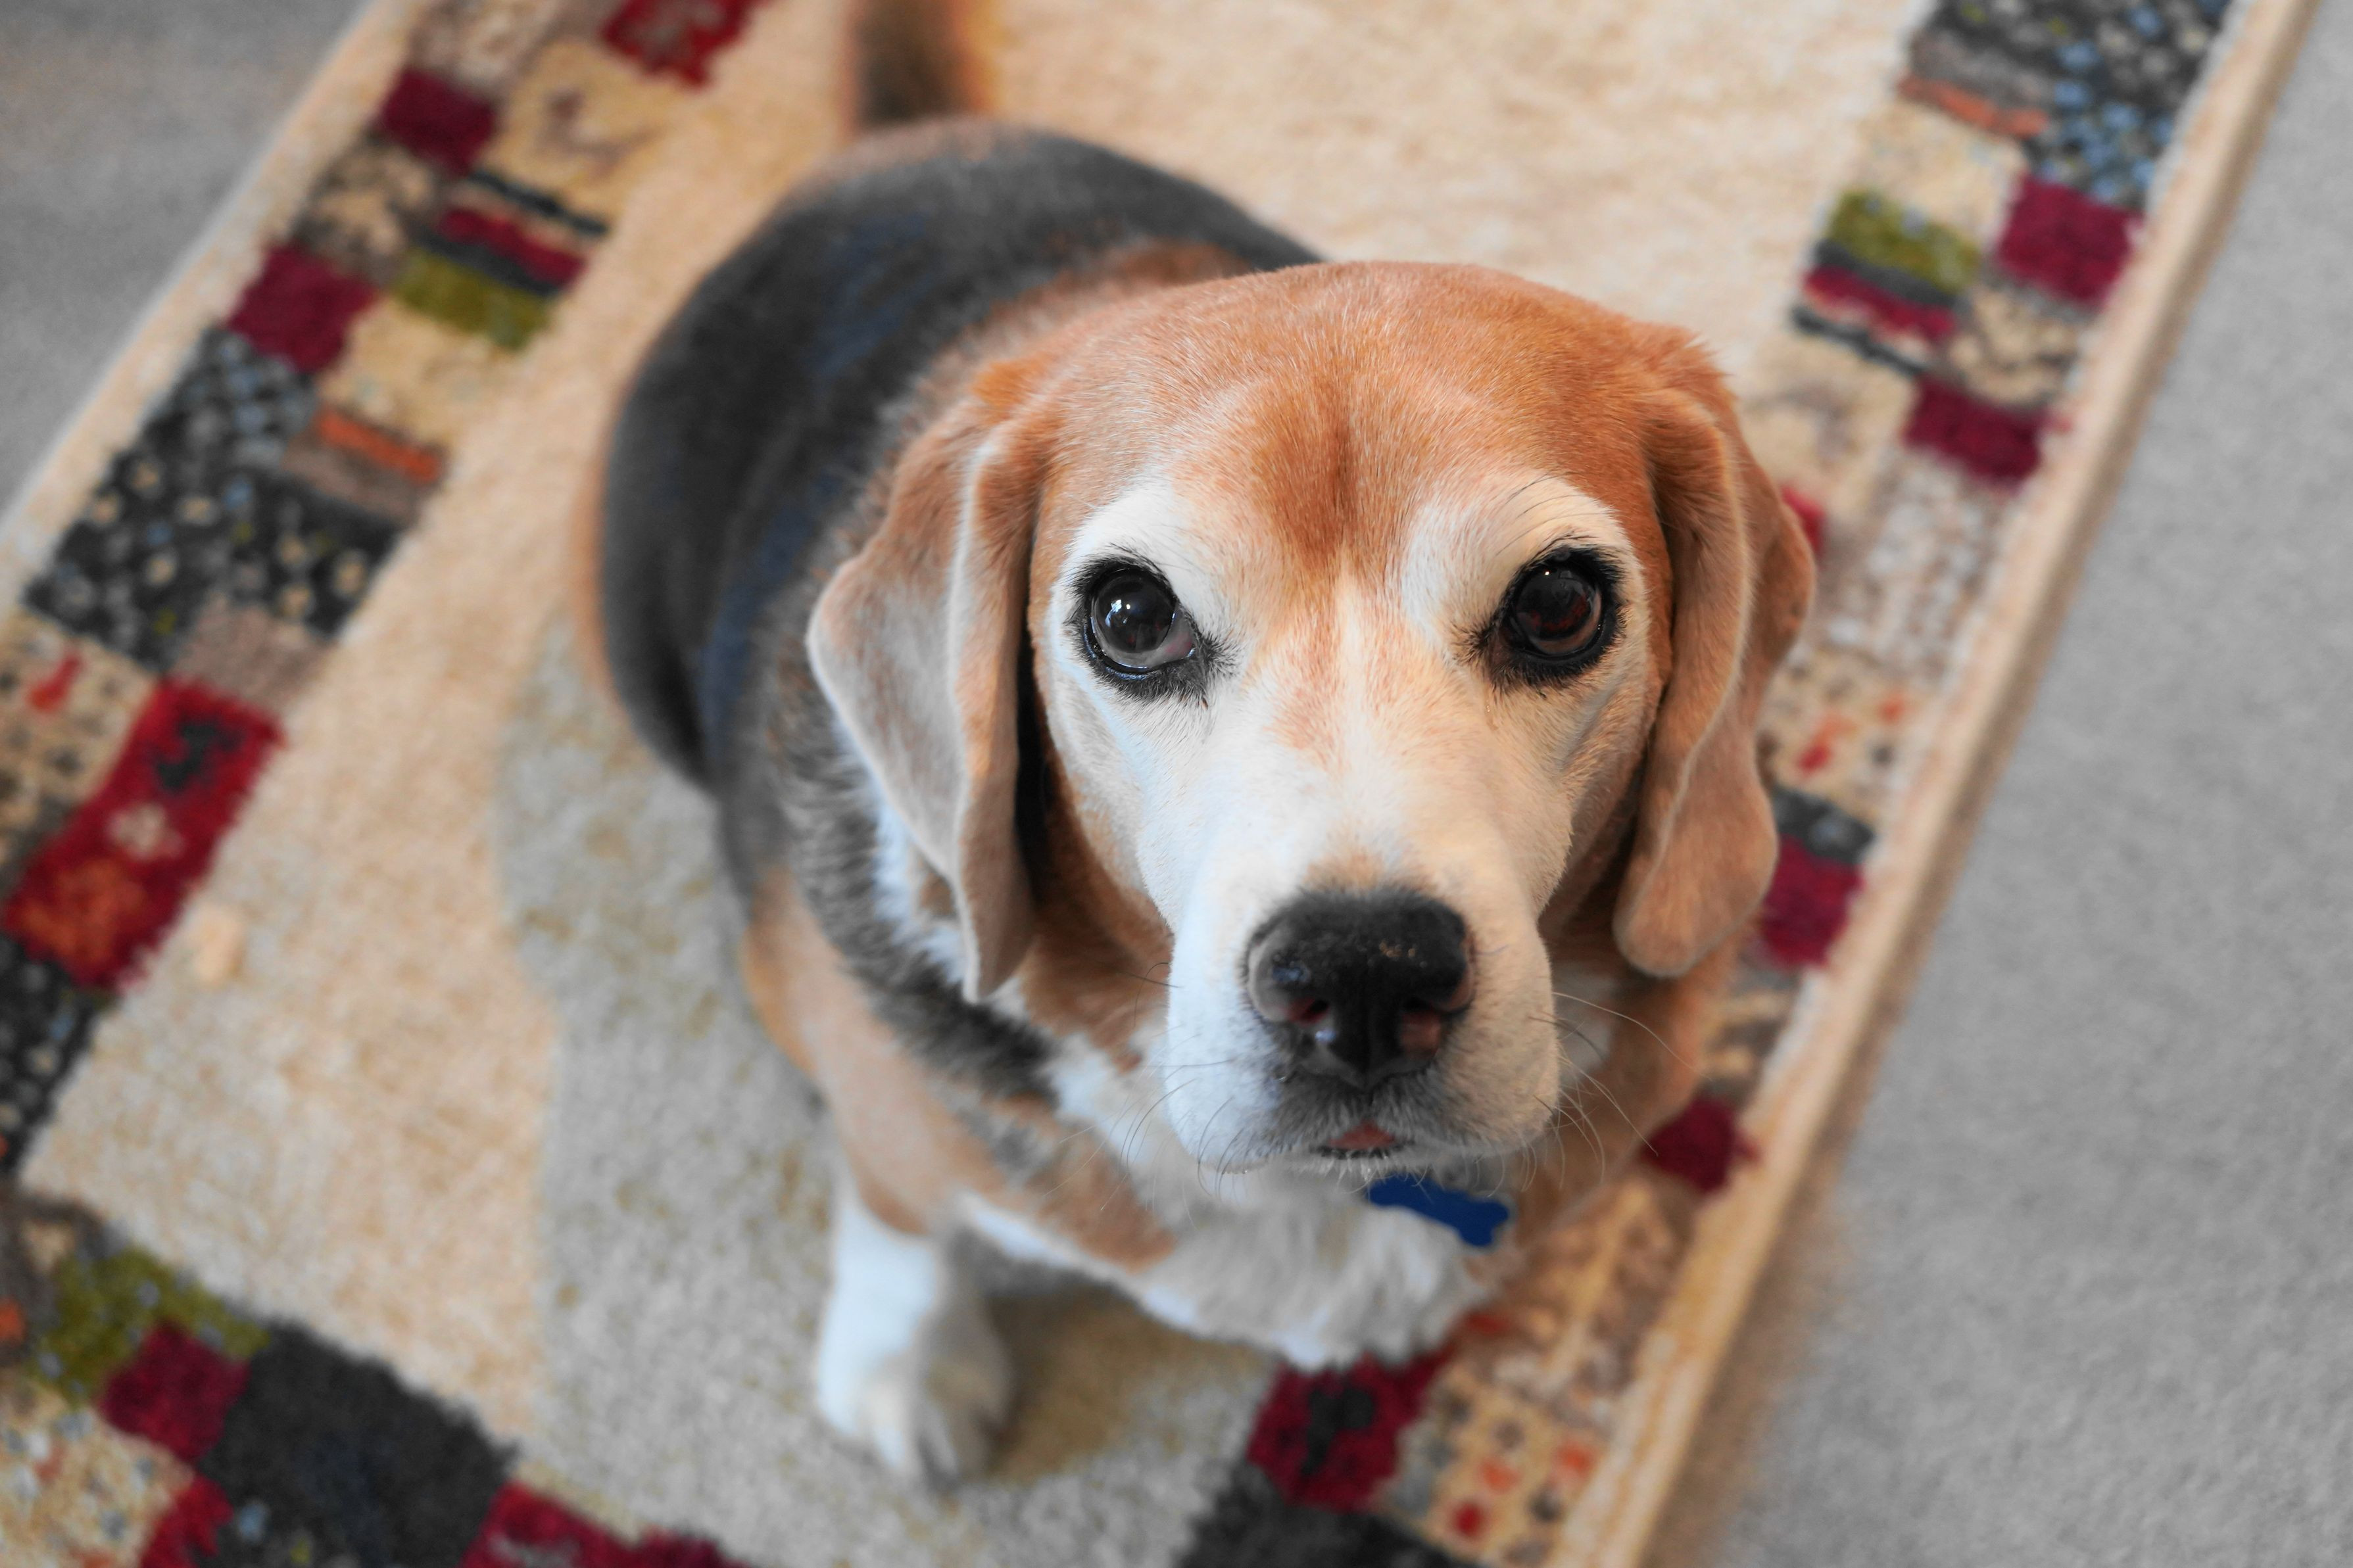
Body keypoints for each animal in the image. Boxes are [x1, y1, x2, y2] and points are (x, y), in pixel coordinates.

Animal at [574, 0, 1812, 1483]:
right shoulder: (866, 1078)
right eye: (1130, 614)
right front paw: (909, 1358)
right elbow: (901, 1206)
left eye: (1558, 604)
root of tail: (917, 144)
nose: (1364, 973)